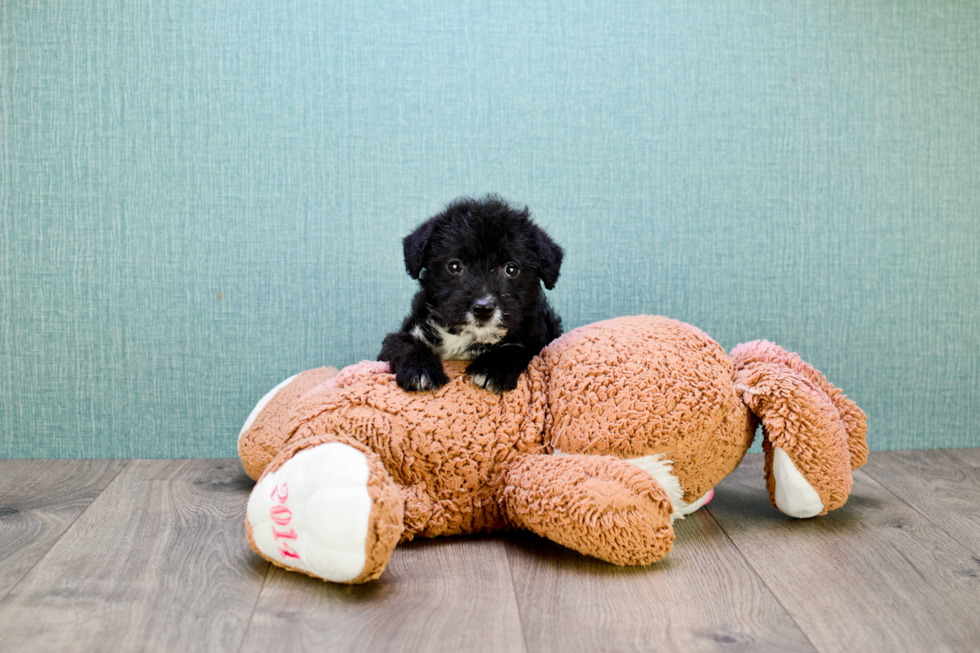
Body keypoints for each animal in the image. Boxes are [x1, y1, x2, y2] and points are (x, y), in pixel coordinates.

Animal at [378, 195, 564, 392]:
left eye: (511, 269)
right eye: (454, 266)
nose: (483, 309)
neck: (468, 335)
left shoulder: (538, 341)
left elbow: (519, 348)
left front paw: (492, 368)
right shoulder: (406, 334)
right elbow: (401, 342)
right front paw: (420, 369)